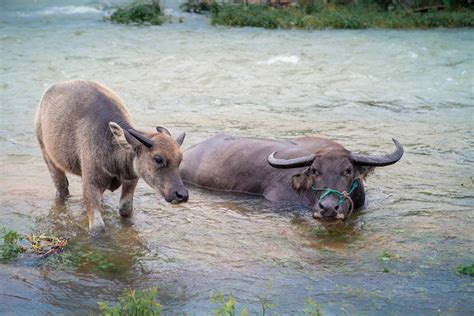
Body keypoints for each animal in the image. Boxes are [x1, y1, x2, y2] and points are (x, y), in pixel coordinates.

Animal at [36, 80, 188, 235]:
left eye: (180, 160)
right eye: (158, 159)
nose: (182, 195)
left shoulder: (131, 179)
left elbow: (125, 210)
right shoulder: (90, 184)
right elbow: (98, 227)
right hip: (47, 155)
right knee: (62, 189)